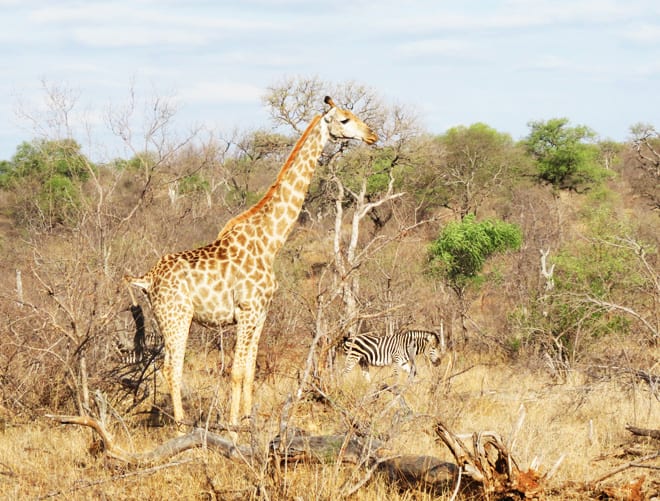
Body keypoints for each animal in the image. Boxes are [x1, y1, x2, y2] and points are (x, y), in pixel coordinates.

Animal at [126, 95, 378, 432]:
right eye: (344, 119)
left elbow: (249, 369)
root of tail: (147, 279)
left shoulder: (261, 313)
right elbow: (235, 371)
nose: (372, 135)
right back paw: (182, 427)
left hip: (171, 318)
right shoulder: (246, 311)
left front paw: (248, 421)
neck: (271, 240)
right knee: (171, 368)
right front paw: (234, 429)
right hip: (177, 317)